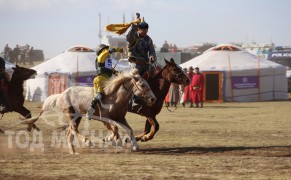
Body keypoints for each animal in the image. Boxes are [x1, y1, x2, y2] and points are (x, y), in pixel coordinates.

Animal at [26, 68, 156, 153]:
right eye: (142, 85)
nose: (153, 99)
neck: (115, 97)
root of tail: (61, 94)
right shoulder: (105, 119)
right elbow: (115, 128)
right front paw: (115, 140)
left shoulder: (120, 118)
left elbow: (129, 129)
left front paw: (135, 145)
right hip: (70, 114)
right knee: (74, 130)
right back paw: (87, 142)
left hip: (77, 117)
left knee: (70, 133)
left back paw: (73, 151)